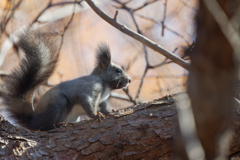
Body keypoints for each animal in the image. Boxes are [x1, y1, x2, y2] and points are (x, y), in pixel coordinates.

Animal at [0, 28, 131, 131]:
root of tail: (33, 122)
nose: (129, 80)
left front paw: (110, 112)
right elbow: (87, 102)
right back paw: (57, 125)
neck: (106, 86)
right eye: (117, 70)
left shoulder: (102, 101)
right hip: (57, 103)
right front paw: (96, 115)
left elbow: (104, 108)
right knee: (45, 126)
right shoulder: (91, 87)